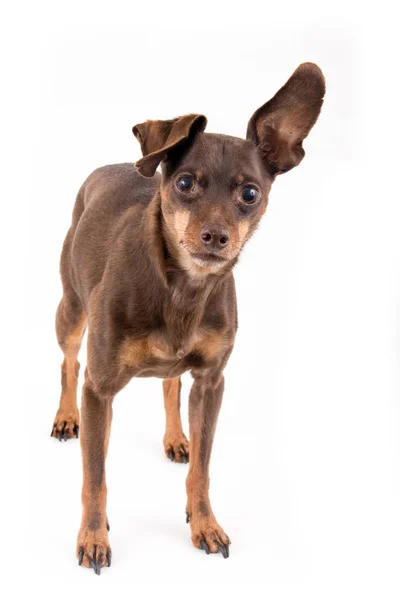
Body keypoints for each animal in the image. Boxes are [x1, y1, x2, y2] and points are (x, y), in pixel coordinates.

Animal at [50, 63, 324, 576]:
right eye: (184, 184)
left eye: (250, 193)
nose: (215, 235)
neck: (183, 289)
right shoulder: (100, 389)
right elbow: (94, 476)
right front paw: (94, 537)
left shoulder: (212, 383)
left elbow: (202, 468)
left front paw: (204, 524)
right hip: (70, 312)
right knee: (68, 362)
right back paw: (65, 416)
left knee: (170, 382)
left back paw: (177, 438)